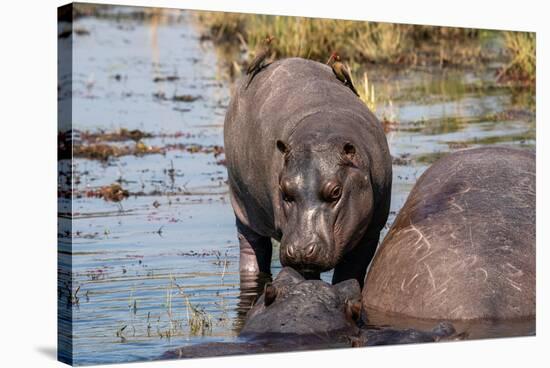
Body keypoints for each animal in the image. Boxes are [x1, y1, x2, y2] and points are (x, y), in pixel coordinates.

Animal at [224, 57, 392, 284]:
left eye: (336, 192)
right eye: (284, 191)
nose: (300, 250)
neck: (324, 131)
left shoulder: (370, 232)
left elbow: (351, 271)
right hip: (243, 208)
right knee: (252, 246)